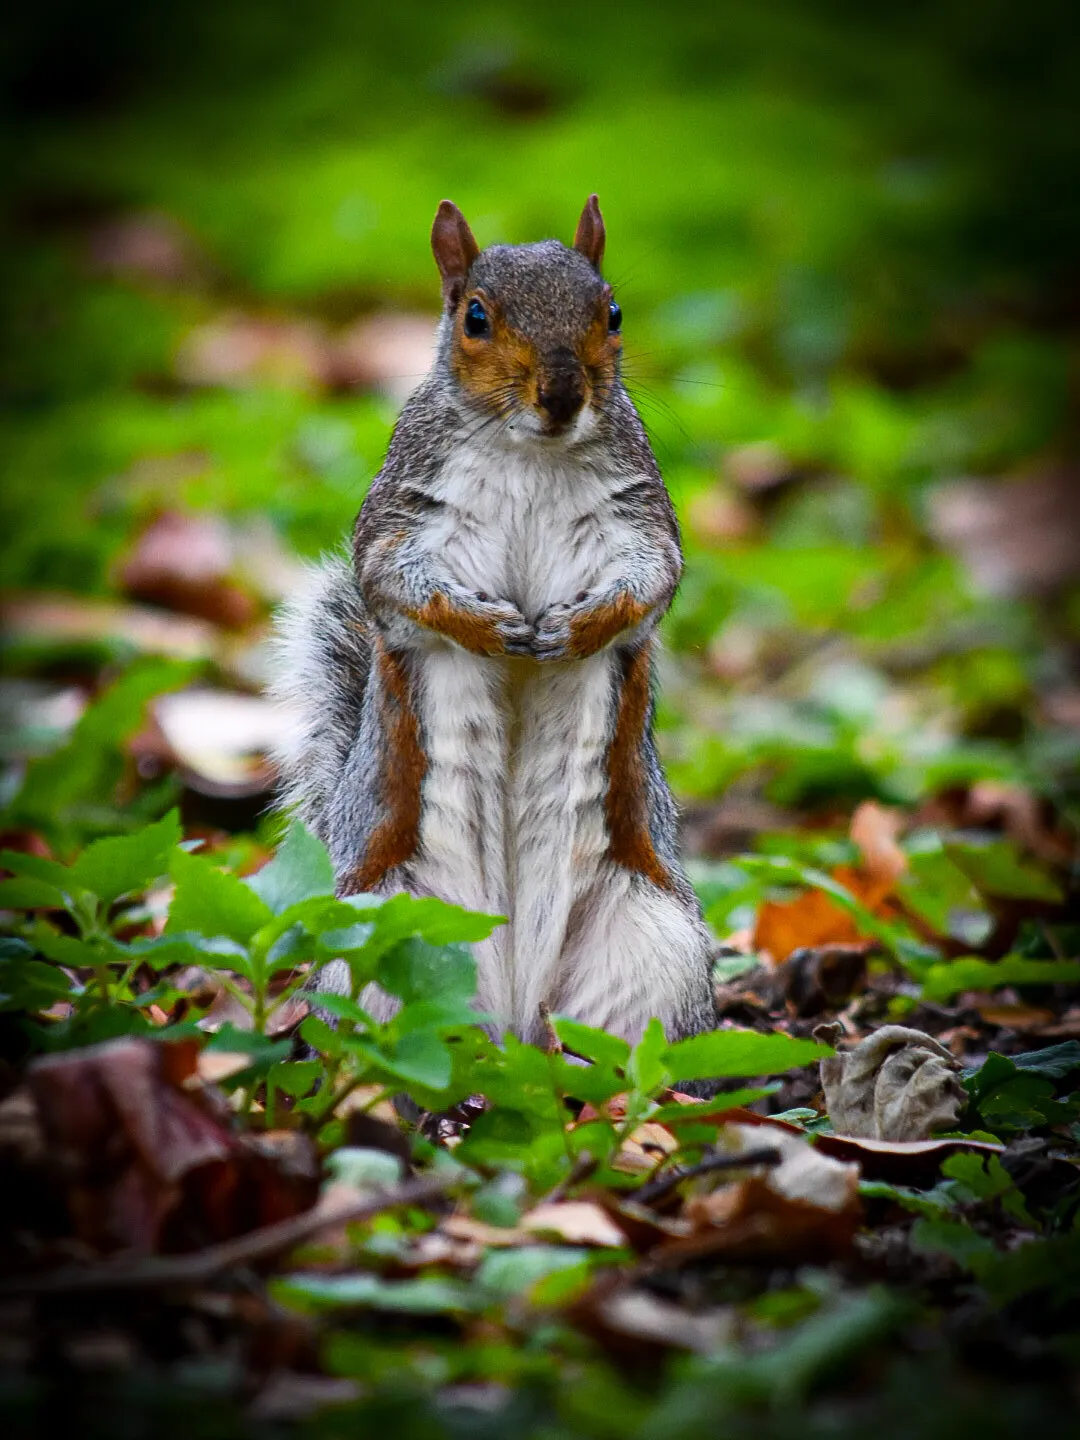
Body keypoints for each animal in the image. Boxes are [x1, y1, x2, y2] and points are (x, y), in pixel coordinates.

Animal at [272, 196, 718, 1055]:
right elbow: (396, 587)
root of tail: (508, 1010)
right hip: (376, 937)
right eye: (475, 317)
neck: (529, 450)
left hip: (652, 940)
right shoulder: (401, 518)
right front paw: (486, 628)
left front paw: (576, 631)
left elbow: (650, 583)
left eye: (612, 313)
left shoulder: (642, 518)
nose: (563, 392)